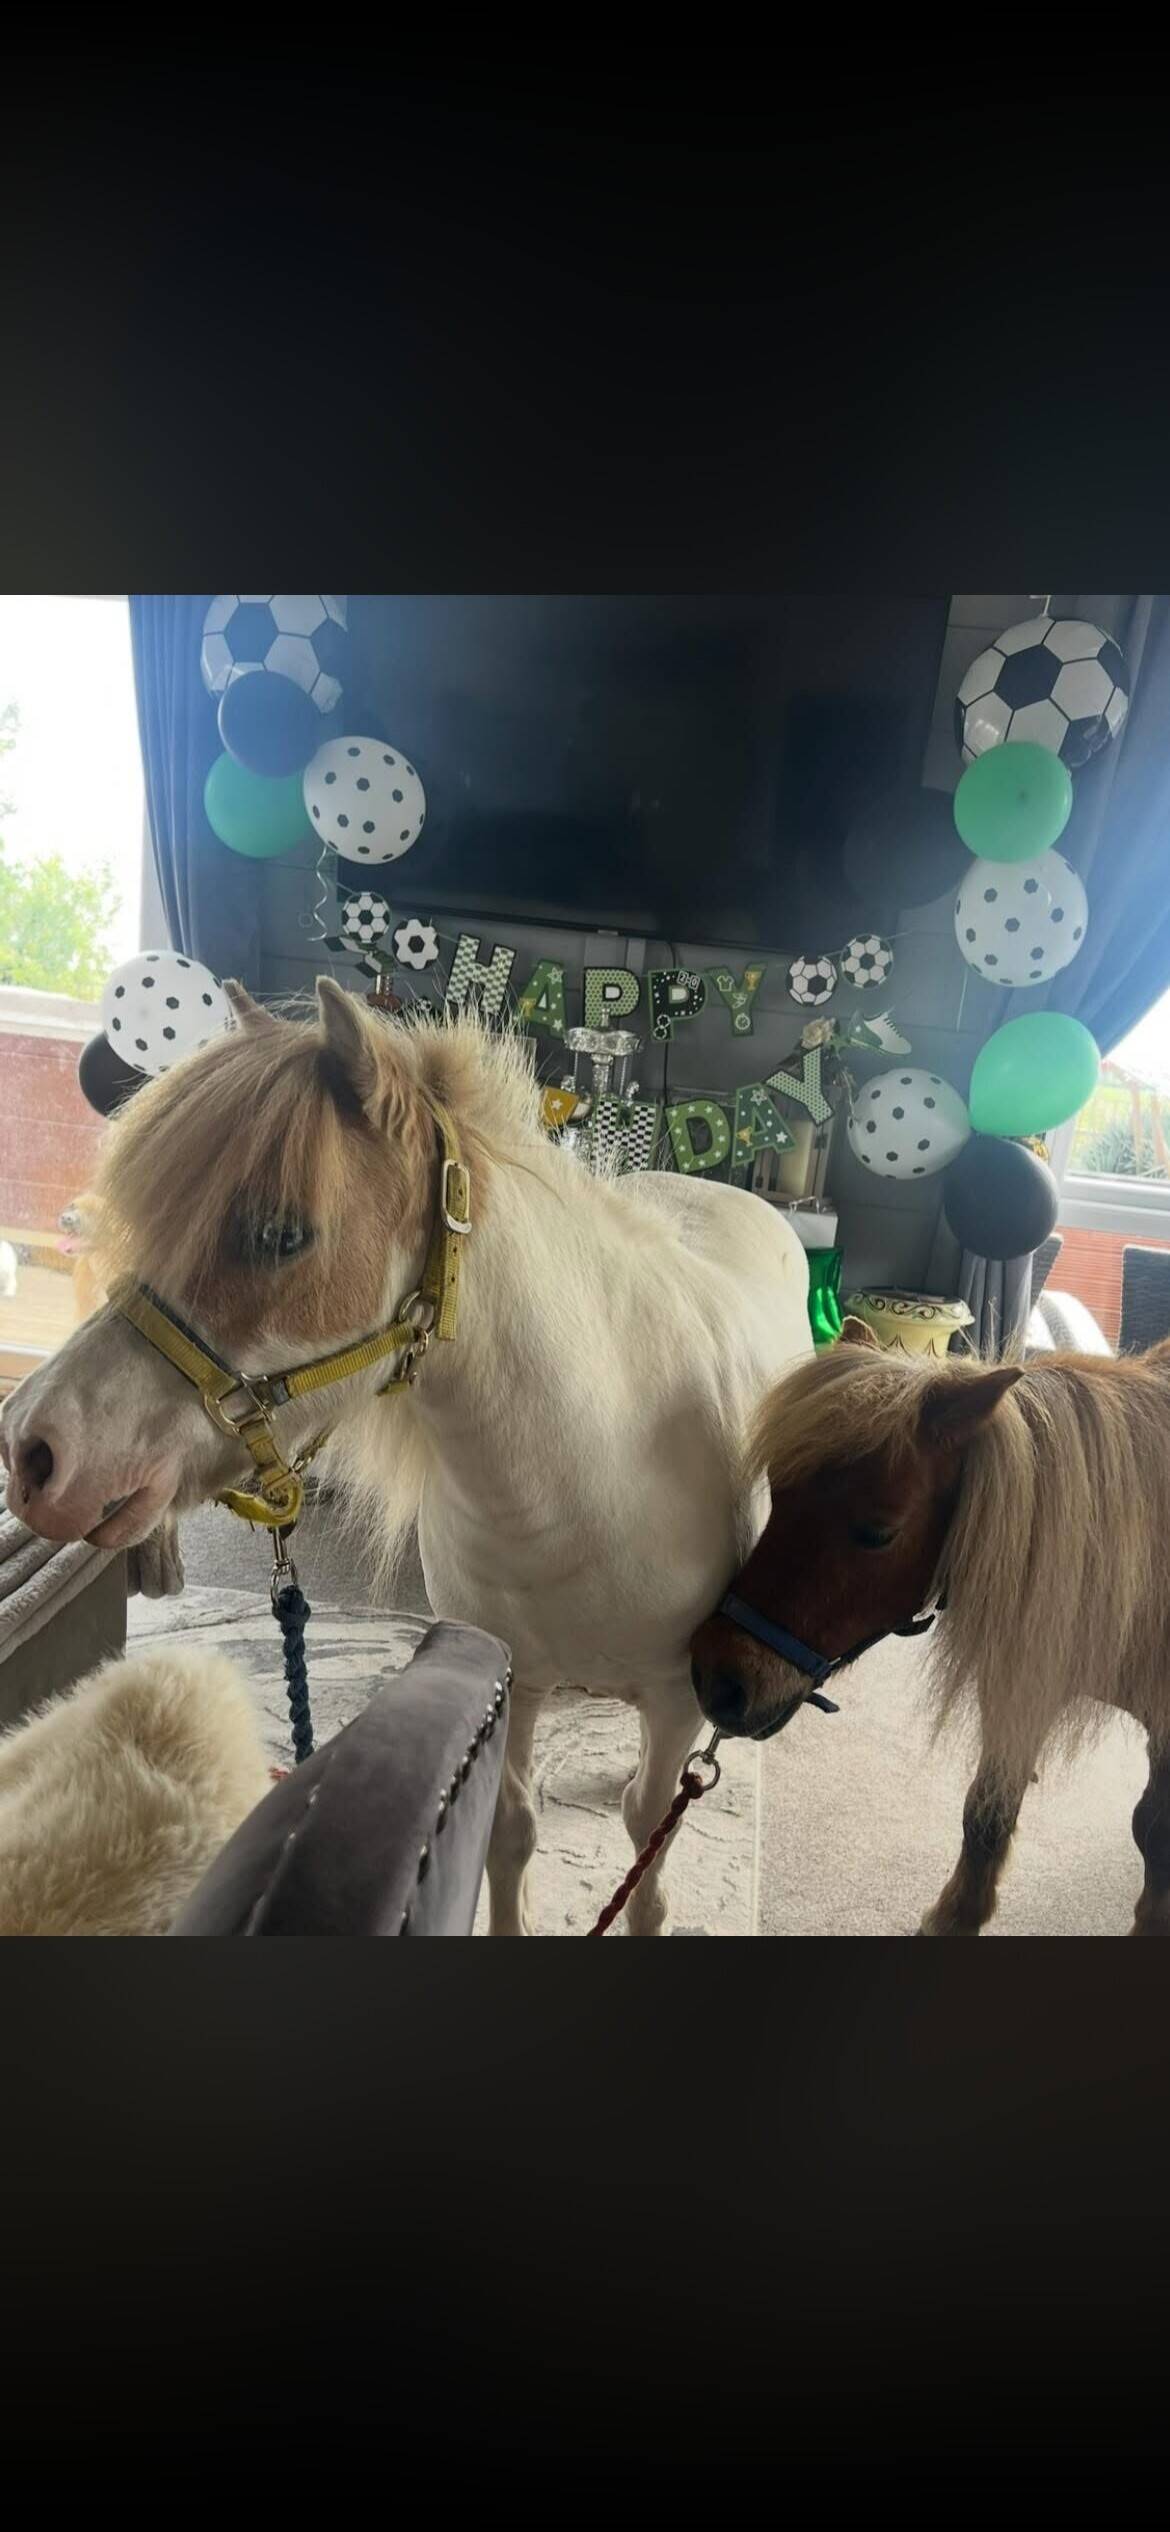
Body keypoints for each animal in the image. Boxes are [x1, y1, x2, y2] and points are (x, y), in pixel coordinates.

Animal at [0, 978, 812, 1935]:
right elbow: (512, 1831)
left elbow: (647, 1856)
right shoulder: (515, 1682)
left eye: (281, 1234)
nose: (34, 1449)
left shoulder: (678, 1701)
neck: (590, 1482)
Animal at [689, 1315, 1170, 1937]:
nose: (718, 1680)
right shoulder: (1030, 1677)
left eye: (878, 1532)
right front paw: (954, 1919)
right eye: (778, 1489)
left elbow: (1153, 1833)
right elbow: (987, 1812)